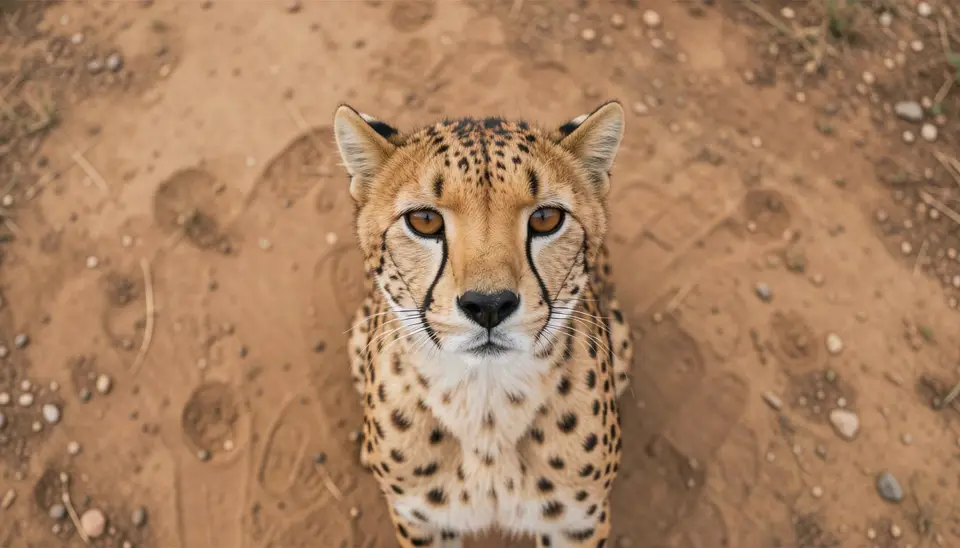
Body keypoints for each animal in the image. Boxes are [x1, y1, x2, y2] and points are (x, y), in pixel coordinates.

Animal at [333, 100, 634, 548]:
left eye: (546, 218)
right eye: (424, 220)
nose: (489, 305)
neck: (485, 403)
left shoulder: (575, 523)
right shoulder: (423, 522)